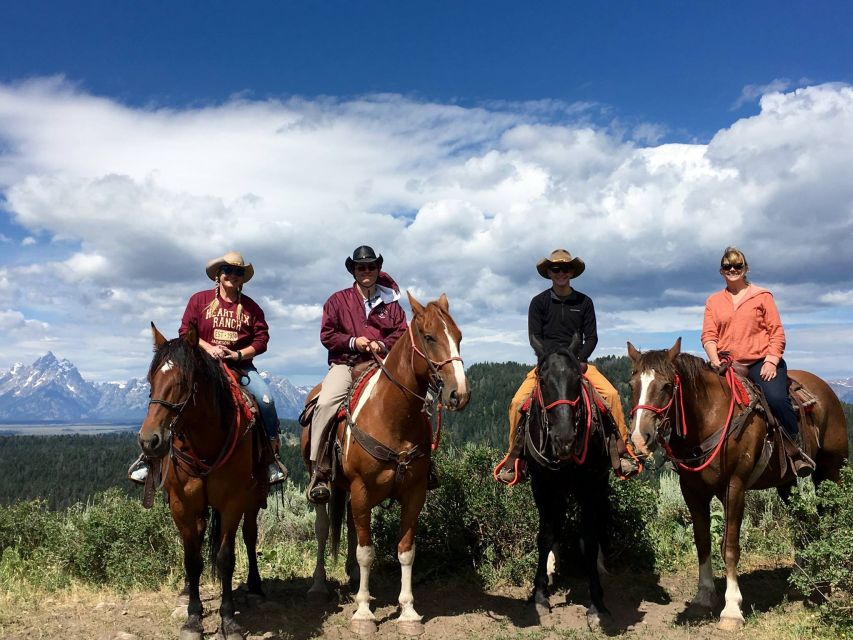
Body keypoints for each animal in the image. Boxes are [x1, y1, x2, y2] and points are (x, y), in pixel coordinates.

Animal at [138, 324, 268, 640]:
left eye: (183, 382)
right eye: (151, 379)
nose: (149, 441)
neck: (206, 443)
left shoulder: (233, 502)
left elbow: (225, 558)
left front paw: (229, 620)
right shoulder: (182, 505)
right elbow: (192, 559)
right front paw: (193, 618)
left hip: (253, 498)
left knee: (250, 536)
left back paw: (256, 586)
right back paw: (186, 590)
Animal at [302, 294, 470, 636]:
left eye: (459, 337)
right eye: (430, 337)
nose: (459, 394)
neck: (393, 416)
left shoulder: (415, 493)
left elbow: (405, 551)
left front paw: (408, 612)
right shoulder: (362, 489)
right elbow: (367, 552)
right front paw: (364, 614)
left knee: (351, 527)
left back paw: (354, 578)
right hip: (325, 486)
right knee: (323, 530)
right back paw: (318, 586)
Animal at [524, 336, 608, 632]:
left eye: (577, 378)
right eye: (542, 380)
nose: (565, 440)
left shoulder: (590, 487)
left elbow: (589, 540)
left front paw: (596, 602)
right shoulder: (542, 486)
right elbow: (545, 535)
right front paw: (540, 595)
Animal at [624, 340, 844, 632]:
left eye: (667, 386)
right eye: (631, 385)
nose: (640, 438)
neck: (709, 419)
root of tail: (827, 390)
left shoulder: (734, 487)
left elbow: (729, 547)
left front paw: (731, 609)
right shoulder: (691, 491)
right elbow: (702, 542)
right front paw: (703, 598)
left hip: (832, 470)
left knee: (834, 516)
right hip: (787, 484)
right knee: (803, 522)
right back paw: (800, 580)